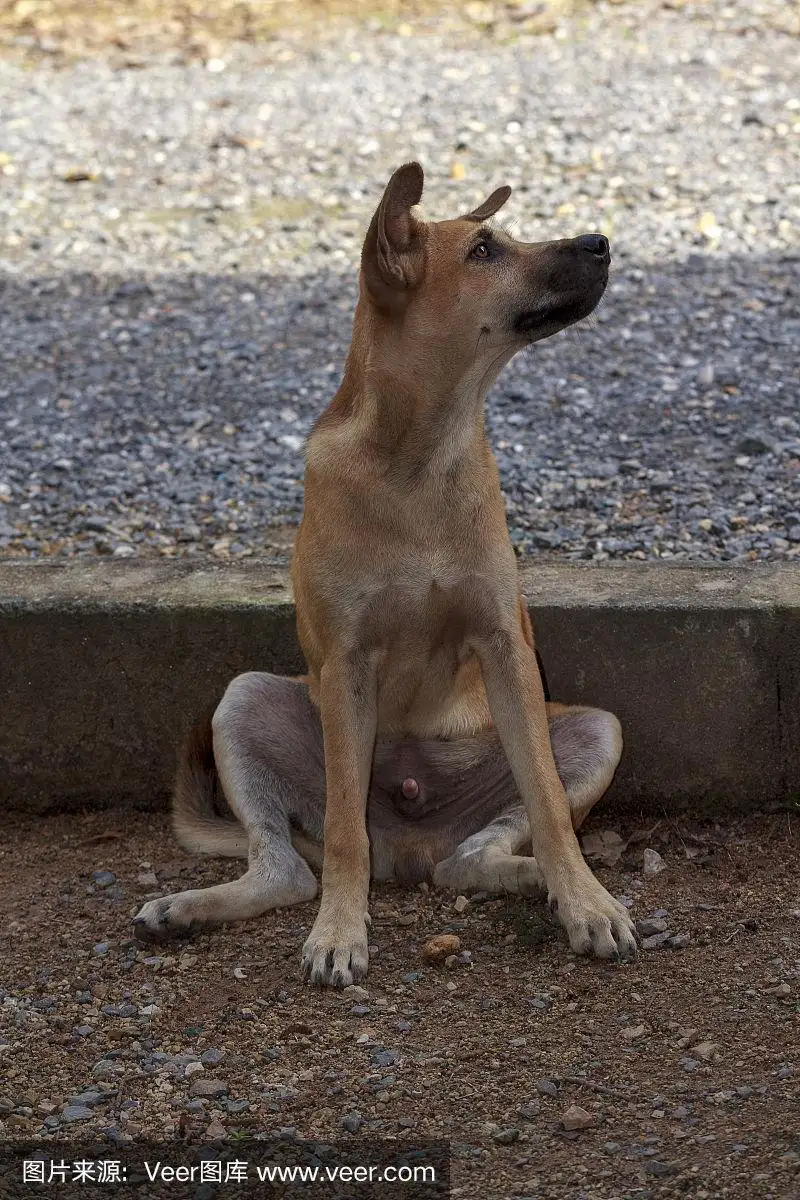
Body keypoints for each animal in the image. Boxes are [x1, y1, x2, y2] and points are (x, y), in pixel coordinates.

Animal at [136, 162, 638, 984]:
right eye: (484, 251)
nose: (600, 241)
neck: (418, 455)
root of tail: (409, 849)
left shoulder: (505, 648)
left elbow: (548, 806)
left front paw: (586, 902)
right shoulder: (345, 665)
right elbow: (344, 830)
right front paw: (340, 931)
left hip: (591, 730)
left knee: (476, 855)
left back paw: (539, 879)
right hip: (244, 702)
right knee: (289, 868)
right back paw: (191, 907)